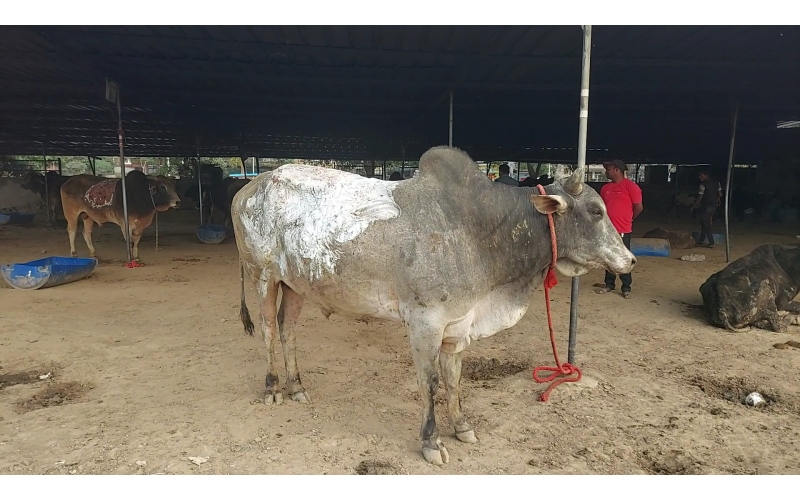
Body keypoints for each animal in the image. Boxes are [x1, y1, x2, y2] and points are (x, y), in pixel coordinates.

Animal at [231, 146, 636, 465]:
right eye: (596, 211)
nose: (630, 260)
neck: (480, 232)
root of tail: (250, 186)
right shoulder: (424, 323)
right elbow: (430, 383)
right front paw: (431, 442)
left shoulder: (458, 326)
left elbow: (454, 381)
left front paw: (462, 426)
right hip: (263, 276)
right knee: (269, 330)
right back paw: (273, 388)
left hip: (294, 284)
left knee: (288, 330)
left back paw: (297, 386)